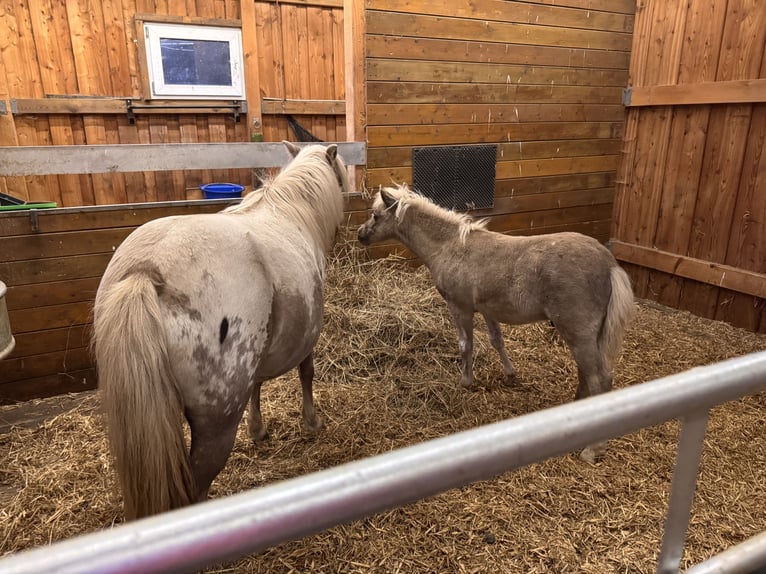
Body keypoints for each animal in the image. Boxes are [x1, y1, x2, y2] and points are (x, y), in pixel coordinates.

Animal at [92, 142, 350, 519]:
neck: (294, 212)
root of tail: (146, 271)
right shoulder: (307, 339)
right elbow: (307, 374)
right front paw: (312, 421)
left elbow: (258, 384)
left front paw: (257, 429)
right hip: (216, 426)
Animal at [357, 184, 634, 462]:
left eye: (375, 215)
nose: (361, 235)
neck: (450, 246)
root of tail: (609, 264)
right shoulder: (488, 310)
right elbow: (496, 340)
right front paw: (509, 374)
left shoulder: (460, 308)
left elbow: (465, 345)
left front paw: (466, 381)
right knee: (585, 373)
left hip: (578, 333)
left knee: (599, 378)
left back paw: (593, 448)